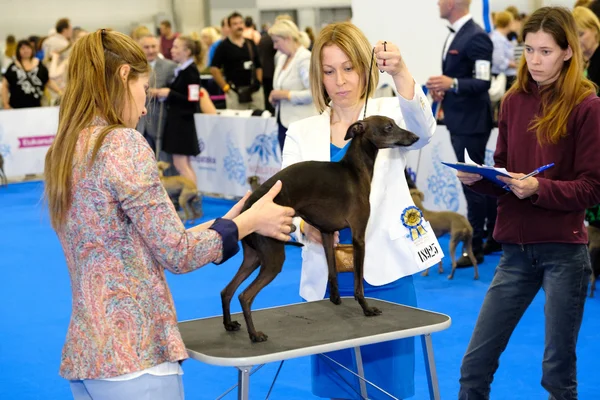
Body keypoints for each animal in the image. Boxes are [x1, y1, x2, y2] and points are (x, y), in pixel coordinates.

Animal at [218, 117, 420, 342]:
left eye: (395, 123)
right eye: (388, 127)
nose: (415, 137)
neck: (355, 171)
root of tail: (248, 207)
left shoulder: (326, 232)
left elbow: (332, 270)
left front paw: (335, 298)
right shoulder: (359, 236)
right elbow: (358, 283)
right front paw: (367, 308)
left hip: (254, 257)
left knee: (227, 291)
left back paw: (229, 324)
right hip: (272, 259)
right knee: (245, 296)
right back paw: (254, 335)